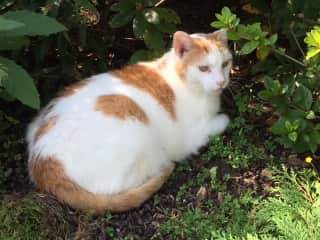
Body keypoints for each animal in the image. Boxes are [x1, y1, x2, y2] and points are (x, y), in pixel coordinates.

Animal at [26, 29, 232, 212]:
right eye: (203, 68)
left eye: (225, 64)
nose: (221, 82)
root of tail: (42, 161)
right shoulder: (192, 137)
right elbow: (224, 120)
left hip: (35, 122)